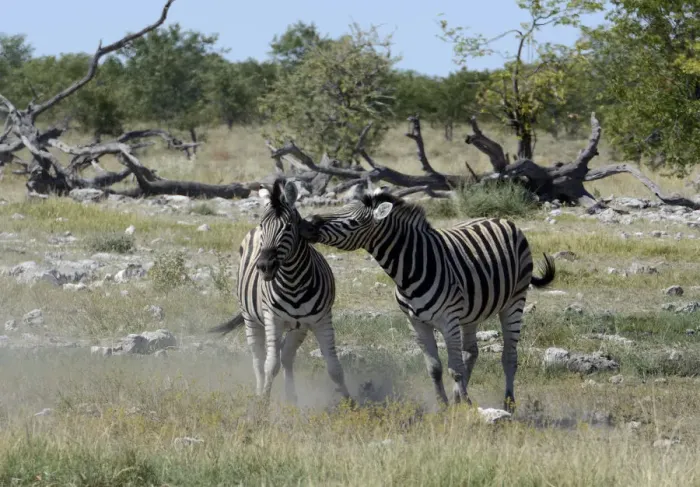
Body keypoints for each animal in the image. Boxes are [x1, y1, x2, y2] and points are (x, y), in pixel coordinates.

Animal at [209, 177, 351, 406]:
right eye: (263, 226)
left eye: (288, 227)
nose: (265, 266)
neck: (293, 282)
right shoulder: (273, 319)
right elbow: (271, 365)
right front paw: (264, 405)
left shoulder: (321, 320)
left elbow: (334, 367)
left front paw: (350, 403)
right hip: (251, 318)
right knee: (259, 359)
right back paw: (259, 393)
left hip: (298, 327)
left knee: (286, 356)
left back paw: (291, 398)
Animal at [299, 187, 555, 412]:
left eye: (353, 222)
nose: (306, 223)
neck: (408, 271)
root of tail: (500, 219)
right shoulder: (416, 323)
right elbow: (435, 368)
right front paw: (444, 405)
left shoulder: (448, 321)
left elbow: (455, 369)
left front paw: (467, 406)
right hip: (470, 313)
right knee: (471, 352)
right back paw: (459, 396)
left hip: (515, 301)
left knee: (509, 356)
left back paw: (508, 404)